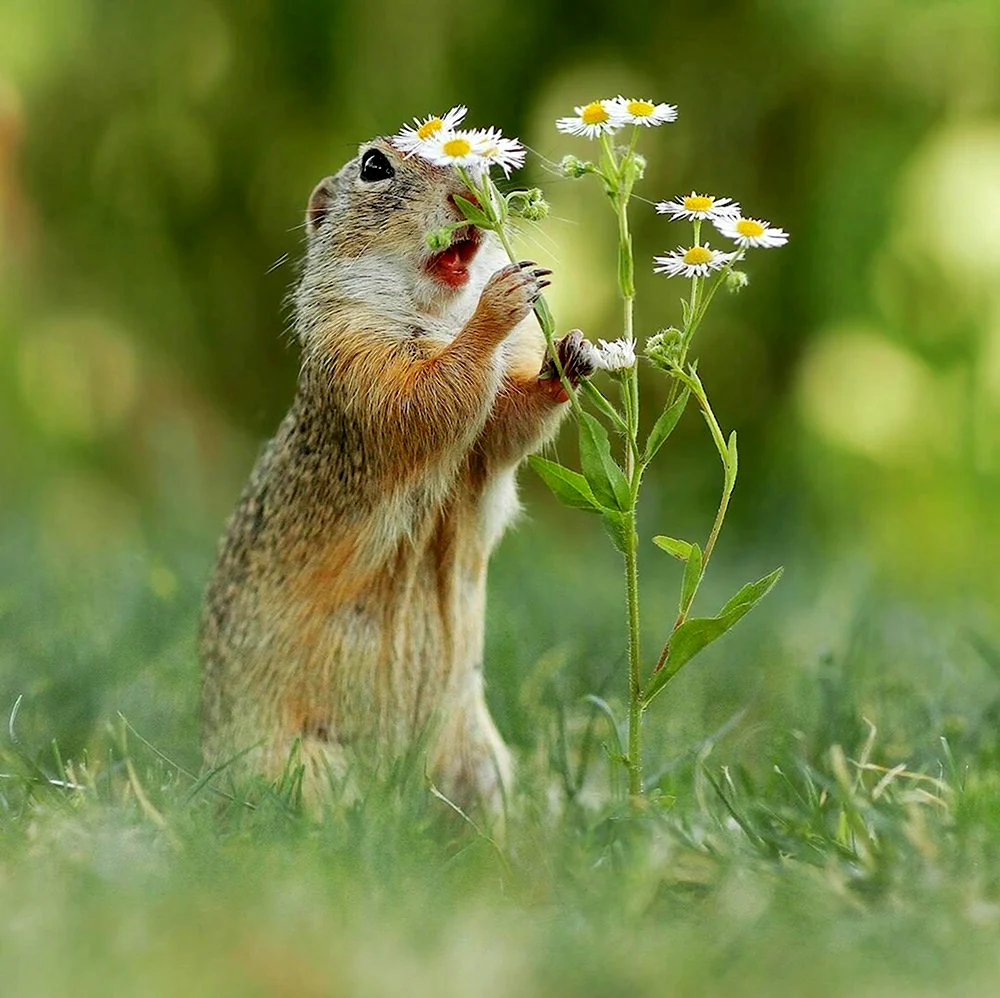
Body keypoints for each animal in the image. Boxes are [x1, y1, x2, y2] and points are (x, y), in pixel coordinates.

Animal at [202, 139, 592, 812]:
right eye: (375, 166)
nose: (472, 183)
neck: (437, 315)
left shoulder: (484, 442)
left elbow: (505, 425)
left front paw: (568, 355)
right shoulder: (358, 357)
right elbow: (424, 397)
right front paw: (501, 301)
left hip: (481, 761)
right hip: (307, 768)